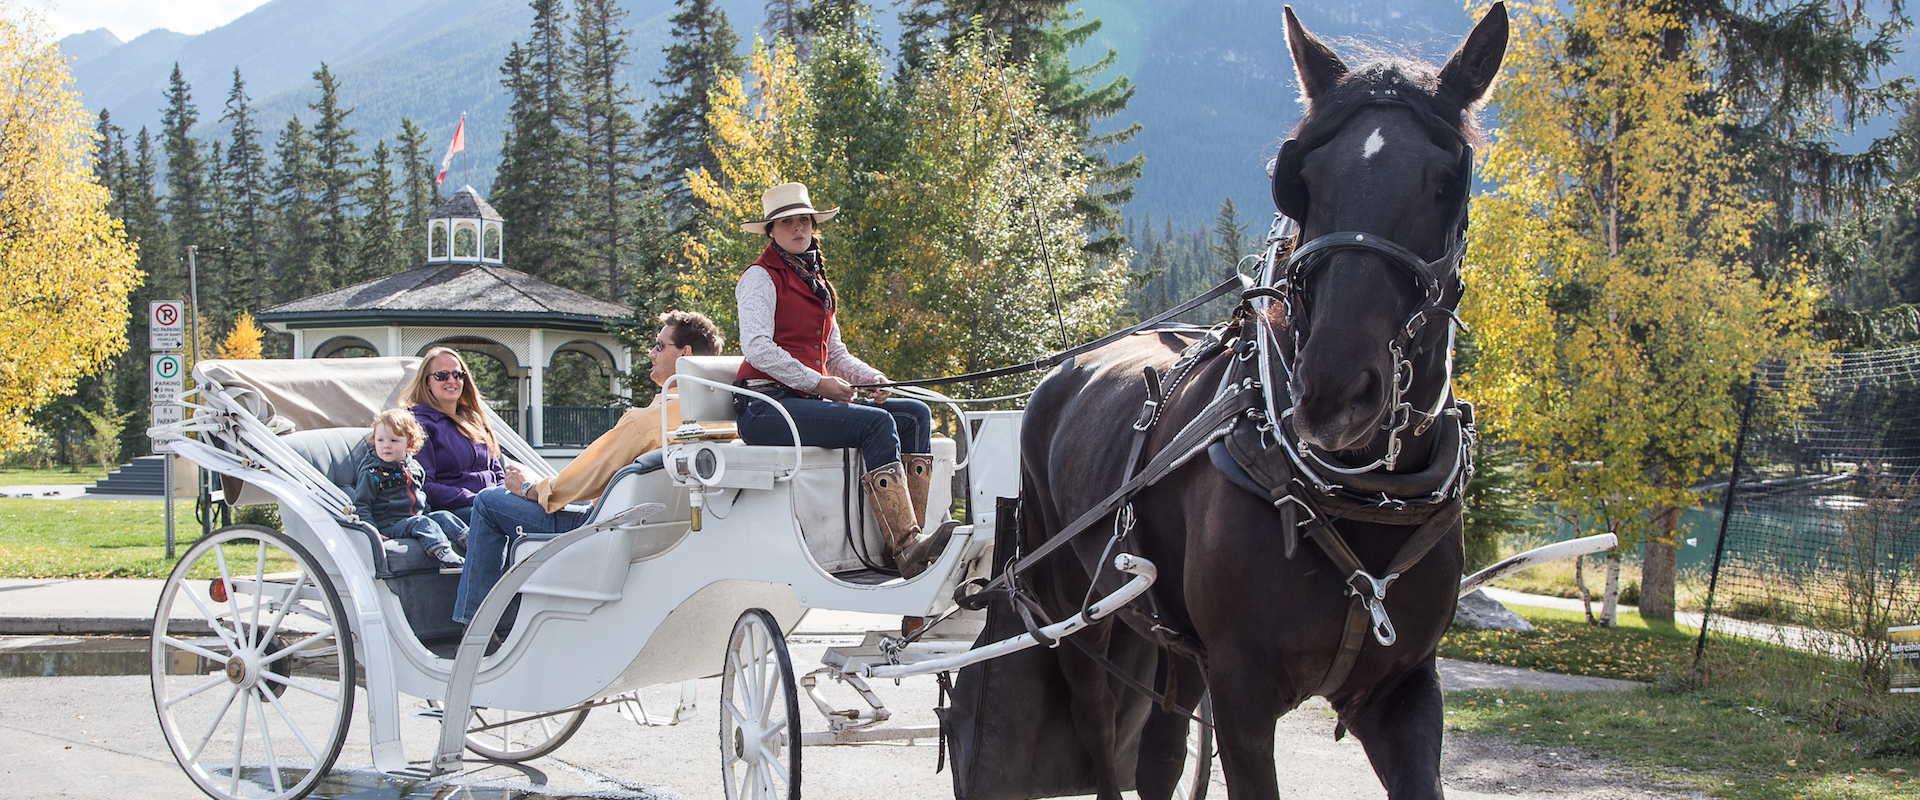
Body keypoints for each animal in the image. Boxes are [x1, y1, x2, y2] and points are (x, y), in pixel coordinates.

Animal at [944, 6, 1512, 798]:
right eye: (1302, 179)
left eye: (1446, 182)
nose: (1335, 388)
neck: (1358, 496)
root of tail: (1065, 369)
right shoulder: (1243, 693)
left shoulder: (1403, 690)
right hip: (1070, 610)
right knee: (1097, 723)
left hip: (1176, 642)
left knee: (1160, 748)